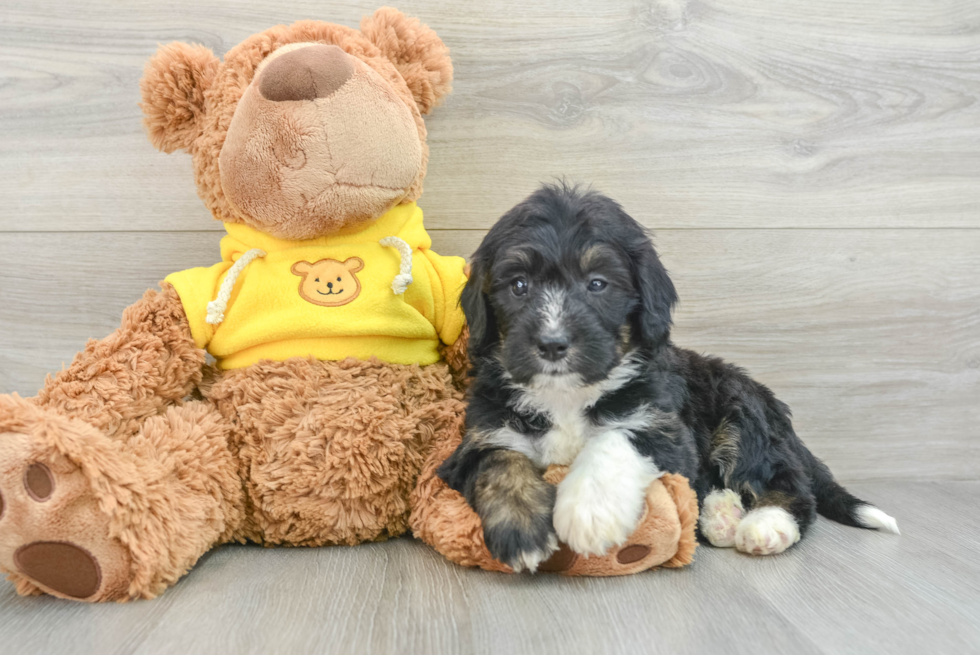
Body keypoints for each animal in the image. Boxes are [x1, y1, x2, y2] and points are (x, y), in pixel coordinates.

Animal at [440, 184, 900, 576]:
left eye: (597, 284)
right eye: (518, 285)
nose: (553, 344)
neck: (567, 396)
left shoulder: (665, 429)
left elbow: (616, 439)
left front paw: (589, 512)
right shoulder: (480, 434)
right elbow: (499, 462)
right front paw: (521, 530)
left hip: (741, 412)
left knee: (789, 486)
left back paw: (765, 525)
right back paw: (719, 515)